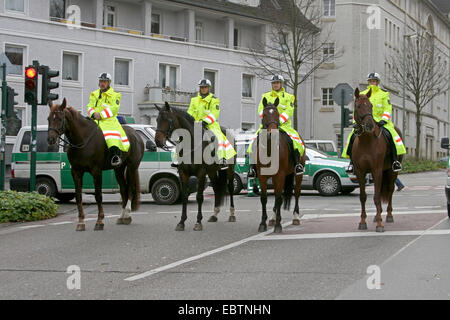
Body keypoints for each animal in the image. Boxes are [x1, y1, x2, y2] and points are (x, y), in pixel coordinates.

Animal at [47, 99, 144, 231]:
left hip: (131, 167)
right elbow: (78, 196)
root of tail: (136, 134)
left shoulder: (96, 171)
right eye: (49, 118)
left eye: (59, 119)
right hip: (118, 169)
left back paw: (128, 213)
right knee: (123, 189)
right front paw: (81, 222)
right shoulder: (76, 172)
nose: (50, 139)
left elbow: (98, 195)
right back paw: (122, 216)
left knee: (130, 189)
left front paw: (99, 221)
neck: (82, 140)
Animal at [155, 102, 237, 230]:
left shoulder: (201, 173)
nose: (158, 141)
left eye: (168, 120)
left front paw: (198, 222)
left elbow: (199, 197)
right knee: (216, 188)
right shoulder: (183, 173)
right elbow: (184, 196)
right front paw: (181, 222)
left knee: (231, 188)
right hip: (212, 172)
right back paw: (214, 214)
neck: (190, 144)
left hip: (230, 169)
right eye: (157, 119)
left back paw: (232, 214)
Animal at [253, 97, 306, 232]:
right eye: (264, 114)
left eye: (277, 115)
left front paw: (278, 224)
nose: (272, 133)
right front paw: (263, 223)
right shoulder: (262, 176)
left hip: (298, 175)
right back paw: (272, 218)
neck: (269, 149)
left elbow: (278, 198)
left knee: (296, 193)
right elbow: (264, 198)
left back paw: (296, 217)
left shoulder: (280, 175)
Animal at [354, 88, 402, 232]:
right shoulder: (360, 172)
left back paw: (388, 215)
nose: (370, 125)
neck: (366, 141)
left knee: (390, 190)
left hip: (392, 172)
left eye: (370, 106)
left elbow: (376, 197)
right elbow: (363, 197)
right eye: (358, 106)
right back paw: (376, 215)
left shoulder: (377, 170)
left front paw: (380, 224)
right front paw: (362, 222)